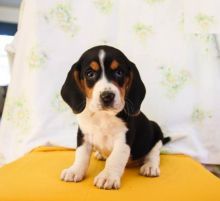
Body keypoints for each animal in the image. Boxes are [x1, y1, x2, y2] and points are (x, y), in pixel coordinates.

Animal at [60, 45, 170, 190]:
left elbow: (115, 159)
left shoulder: (123, 139)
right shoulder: (83, 134)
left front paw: (107, 176)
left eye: (119, 72)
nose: (107, 96)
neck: (103, 116)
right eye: (90, 74)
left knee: (154, 153)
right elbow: (81, 155)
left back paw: (150, 167)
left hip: (156, 132)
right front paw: (75, 170)